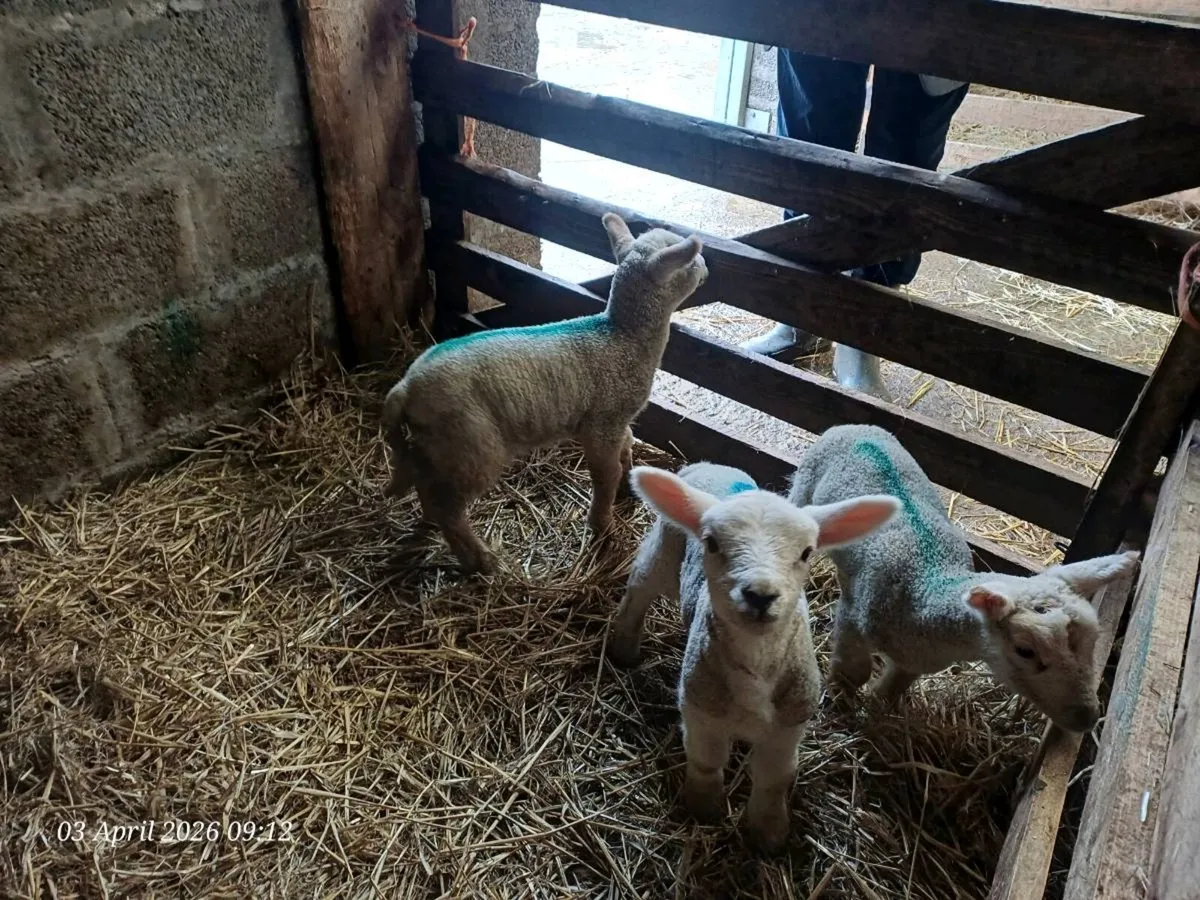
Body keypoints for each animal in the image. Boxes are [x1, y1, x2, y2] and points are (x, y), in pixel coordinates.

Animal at [381, 213, 707, 574]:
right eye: (690, 261)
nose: (707, 268)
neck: (622, 337)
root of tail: (405, 387)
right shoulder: (602, 422)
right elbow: (604, 474)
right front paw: (602, 524)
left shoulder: (618, 420)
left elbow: (627, 445)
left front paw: (628, 486)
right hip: (471, 444)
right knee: (449, 508)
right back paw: (480, 559)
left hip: (437, 444)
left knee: (426, 486)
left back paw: (429, 524)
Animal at [609, 462, 900, 851]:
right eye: (712, 543)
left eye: (807, 552)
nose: (760, 595)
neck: (756, 666)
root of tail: (708, 465)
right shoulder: (701, 710)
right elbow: (706, 761)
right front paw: (703, 808)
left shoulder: (789, 723)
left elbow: (773, 778)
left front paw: (769, 833)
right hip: (663, 549)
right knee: (638, 589)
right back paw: (623, 648)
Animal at [787, 424, 1142, 732]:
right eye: (1025, 650)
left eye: (1094, 641)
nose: (1086, 718)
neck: (925, 592)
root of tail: (855, 427)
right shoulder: (854, 618)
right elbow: (854, 672)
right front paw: (840, 701)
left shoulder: (916, 659)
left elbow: (891, 689)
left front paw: (874, 712)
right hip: (804, 485)